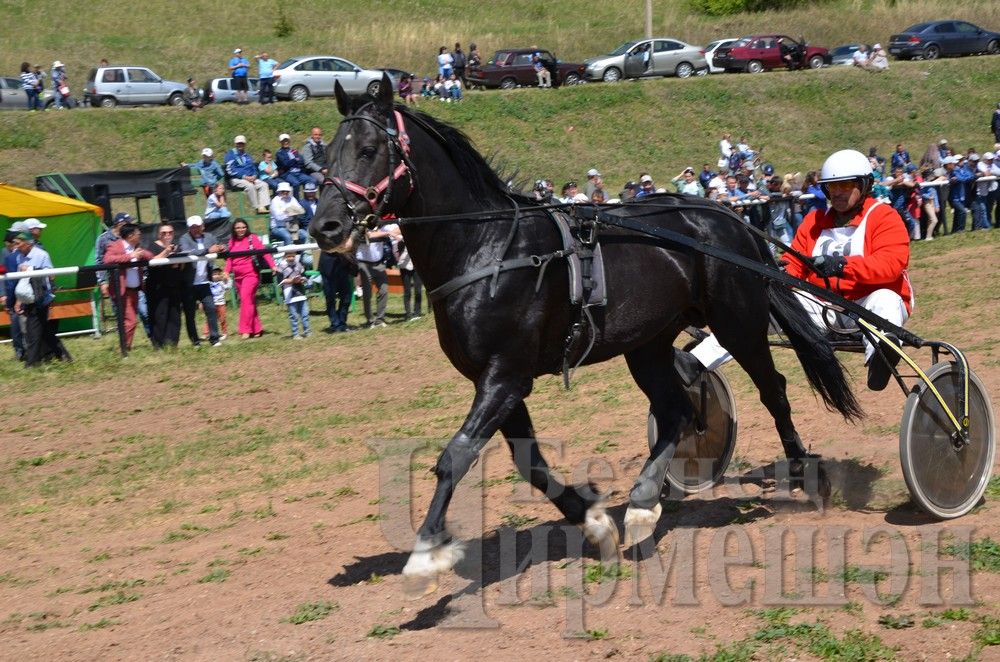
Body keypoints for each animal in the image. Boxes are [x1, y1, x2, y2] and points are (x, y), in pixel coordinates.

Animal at [310, 75, 860, 592]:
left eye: (368, 149)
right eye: (326, 154)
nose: (325, 227)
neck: (487, 246)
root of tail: (727, 214)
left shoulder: (505, 376)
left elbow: (456, 456)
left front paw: (425, 553)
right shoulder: (500, 381)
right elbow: (529, 462)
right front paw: (594, 522)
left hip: (737, 323)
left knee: (773, 392)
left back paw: (804, 477)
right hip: (647, 345)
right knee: (677, 411)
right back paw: (642, 505)